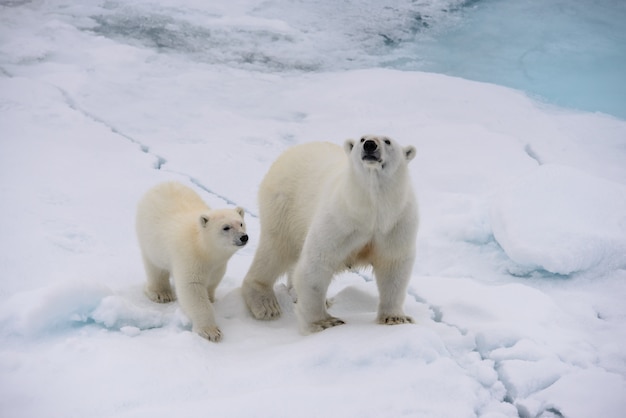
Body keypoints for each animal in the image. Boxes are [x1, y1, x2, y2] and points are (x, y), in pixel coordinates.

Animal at [241, 136, 416, 334]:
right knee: (275, 250)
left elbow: (393, 265)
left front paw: (395, 318)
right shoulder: (340, 218)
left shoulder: (395, 223)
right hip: (284, 206)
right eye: (362, 139)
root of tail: (291, 150)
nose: (370, 144)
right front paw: (324, 323)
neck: (371, 207)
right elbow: (317, 261)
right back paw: (266, 305)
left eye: (387, 141)